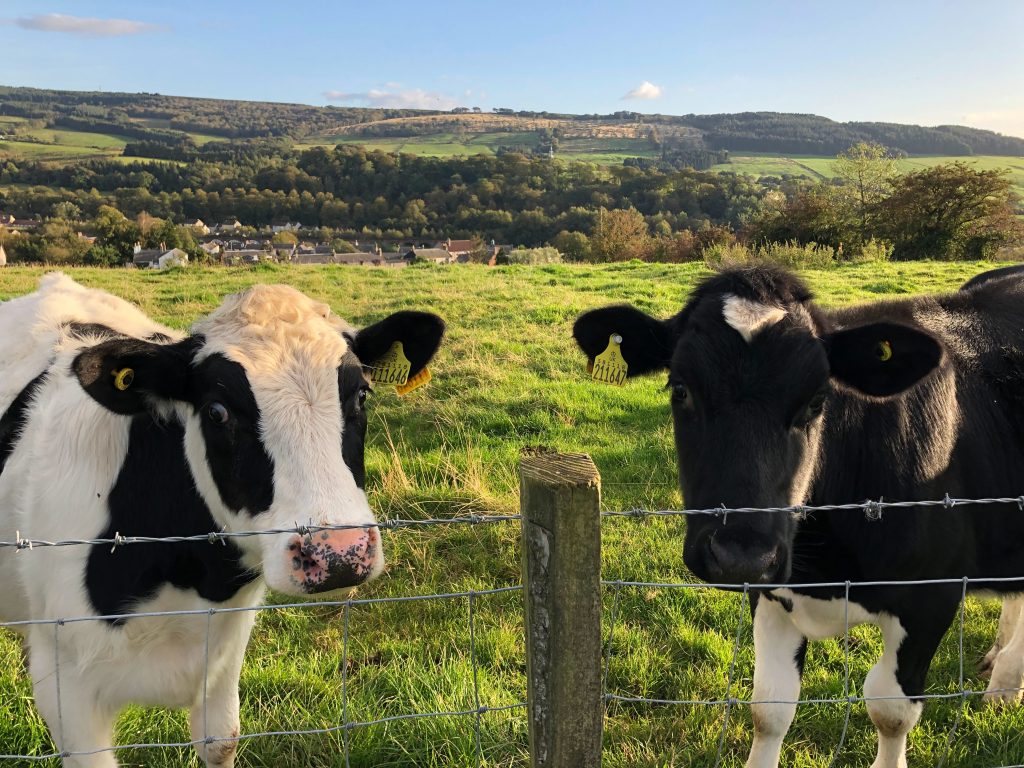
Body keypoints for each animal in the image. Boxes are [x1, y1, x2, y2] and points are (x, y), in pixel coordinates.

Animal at [0, 274, 444, 765]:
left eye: (361, 394)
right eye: (217, 411)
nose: (340, 554)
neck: (190, 580)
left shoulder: (223, 659)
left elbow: (221, 741)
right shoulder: (65, 689)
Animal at [573, 266, 1024, 768]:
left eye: (816, 402)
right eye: (681, 389)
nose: (739, 556)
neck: (824, 571)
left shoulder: (932, 598)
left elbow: (890, 711)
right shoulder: (771, 593)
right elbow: (769, 707)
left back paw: (1004, 685)